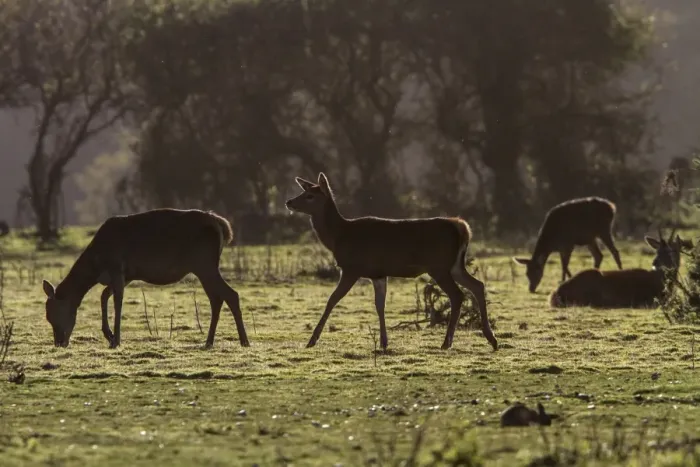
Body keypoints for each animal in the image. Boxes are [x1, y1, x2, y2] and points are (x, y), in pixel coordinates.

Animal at [41, 208, 250, 349]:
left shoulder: (117, 268)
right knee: (217, 298)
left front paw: (116, 340)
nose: (59, 342)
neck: (96, 264)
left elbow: (117, 301)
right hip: (203, 267)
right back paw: (209, 342)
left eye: (51, 314)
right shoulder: (127, 275)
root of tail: (223, 226)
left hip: (204, 263)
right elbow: (104, 295)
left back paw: (244, 341)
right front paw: (109, 335)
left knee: (230, 294)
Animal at [285, 172, 498, 351]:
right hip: (455, 266)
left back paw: (447, 342)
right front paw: (384, 342)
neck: (338, 237)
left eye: (310, 196)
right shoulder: (378, 274)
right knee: (477, 285)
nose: (289, 202)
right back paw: (491, 339)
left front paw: (312, 340)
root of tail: (462, 228)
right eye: (303, 191)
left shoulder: (351, 268)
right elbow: (380, 305)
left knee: (458, 295)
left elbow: (332, 299)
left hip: (439, 266)